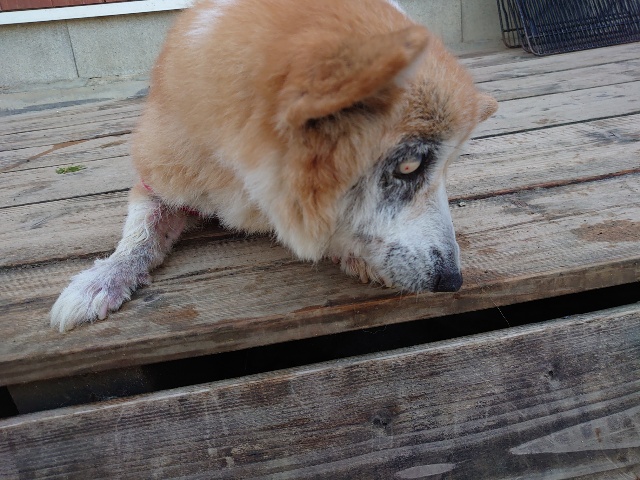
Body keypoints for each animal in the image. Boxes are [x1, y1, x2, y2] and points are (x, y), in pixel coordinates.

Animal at [50, 0, 498, 332]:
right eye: (410, 167)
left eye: (445, 167)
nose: (452, 281)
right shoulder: (162, 177)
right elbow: (140, 236)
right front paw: (101, 280)